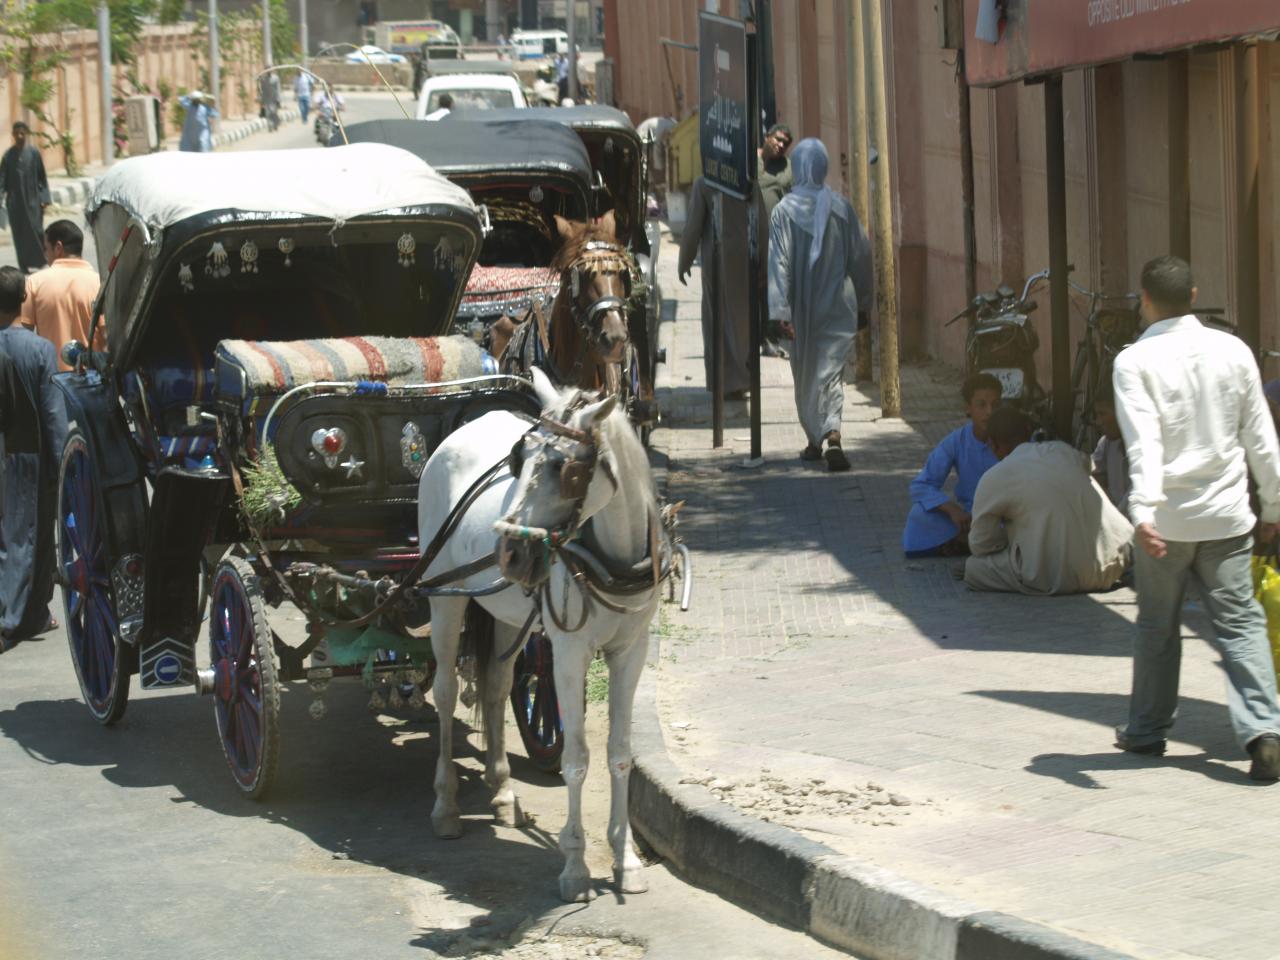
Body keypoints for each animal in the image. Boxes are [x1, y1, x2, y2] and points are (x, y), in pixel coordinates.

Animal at [417, 366, 665, 901]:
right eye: (519, 458)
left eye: (566, 471)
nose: (508, 551)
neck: (611, 557)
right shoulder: (570, 654)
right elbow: (576, 757)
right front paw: (574, 866)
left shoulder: (631, 651)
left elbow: (619, 754)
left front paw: (626, 859)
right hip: (444, 597)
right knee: (445, 693)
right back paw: (445, 806)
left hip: (509, 615)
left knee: (496, 687)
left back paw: (503, 792)